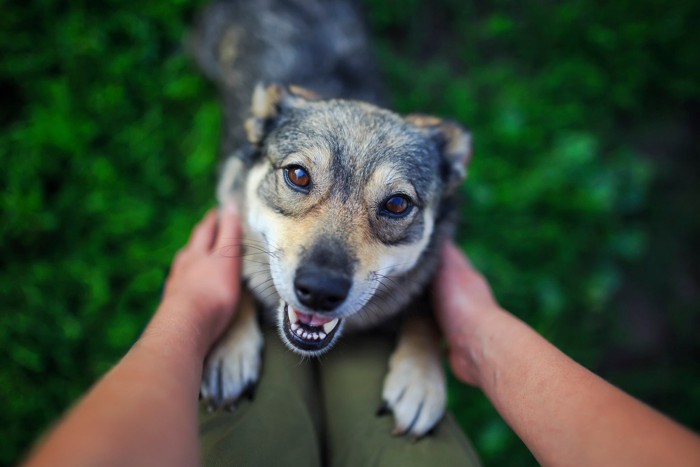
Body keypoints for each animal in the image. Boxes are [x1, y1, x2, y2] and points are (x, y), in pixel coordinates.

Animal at [191, 0, 470, 438]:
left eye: (397, 204)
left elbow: (424, 307)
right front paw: (229, 350)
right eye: (298, 175)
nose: (320, 291)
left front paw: (420, 379)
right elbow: (236, 273)